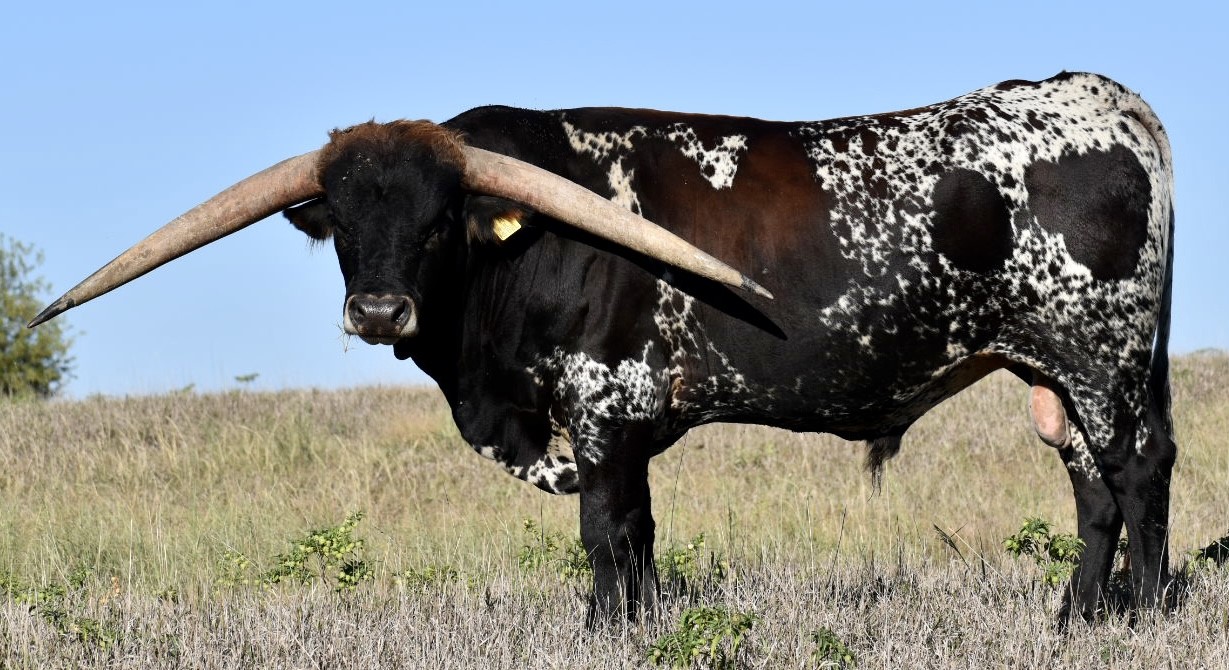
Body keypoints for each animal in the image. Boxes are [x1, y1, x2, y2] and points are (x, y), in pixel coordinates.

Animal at [31, 72, 1175, 626]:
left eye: (438, 220)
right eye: (347, 224)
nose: (381, 312)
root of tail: (1101, 96)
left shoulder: (605, 409)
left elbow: (607, 534)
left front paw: (608, 630)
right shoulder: (606, 426)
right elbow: (637, 540)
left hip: (1100, 358)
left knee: (1135, 473)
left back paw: (1138, 614)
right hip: (1059, 373)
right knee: (1090, 485)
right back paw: (1076, 616)